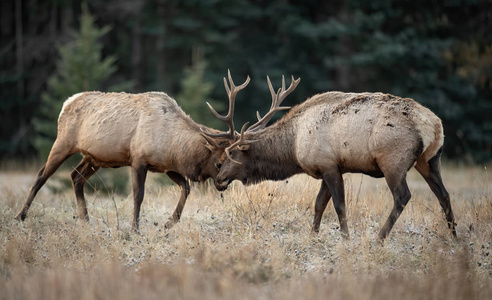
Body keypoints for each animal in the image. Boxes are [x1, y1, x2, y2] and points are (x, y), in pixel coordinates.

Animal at [15, 71, 250, 231]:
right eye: (219, 162)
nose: (222, 184)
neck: (174, 147)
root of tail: (66, 103)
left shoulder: (167, 167)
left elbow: (186, 187)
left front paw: (169, 223)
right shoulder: (139, 159)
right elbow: (138, 195)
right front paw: (134, 229)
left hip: (93, 157)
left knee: (75, 176)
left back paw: (85, 219)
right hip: (63, 142)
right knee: (41, 175)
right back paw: (20, 216)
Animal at [211, 76, 458, 240]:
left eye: (231, 153)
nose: (218, 179)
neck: (294, 145)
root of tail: (434, 125)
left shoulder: (329, 165)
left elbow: (339, 205)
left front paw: (345, 237)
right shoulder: (327, 168)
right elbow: (319, 204)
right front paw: (313, 235)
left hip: (393, 160)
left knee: (403, 196)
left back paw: (380, 238)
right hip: (430, 160)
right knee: (444, 195)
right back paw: (455, 237)